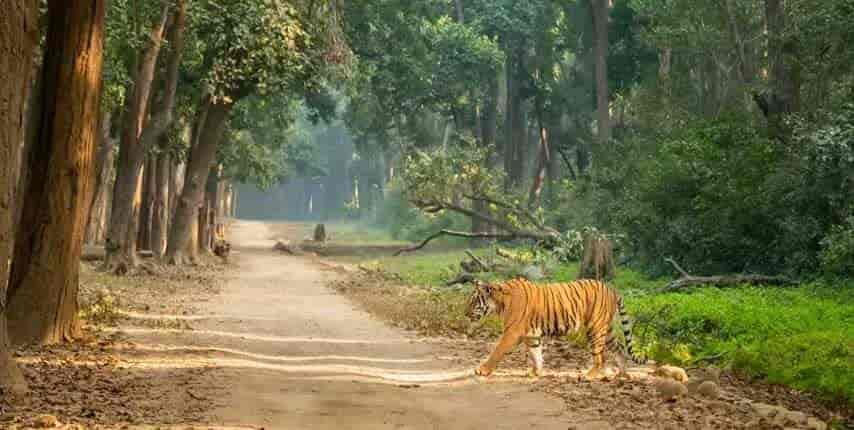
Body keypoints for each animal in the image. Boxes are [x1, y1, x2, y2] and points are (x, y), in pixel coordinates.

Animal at [464, 278, 644, 378]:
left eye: (473, 301)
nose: (465, 313)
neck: (500, 303)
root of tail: (612, 290)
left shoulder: (512, 333)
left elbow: (497, 351)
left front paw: (482, 370)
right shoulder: (532, 335)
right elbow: (536, 354)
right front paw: (536, 372)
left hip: (596, 328)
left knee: (600, 356)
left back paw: (590, 375)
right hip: (607, 330)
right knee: (620, 347)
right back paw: (622, 373)